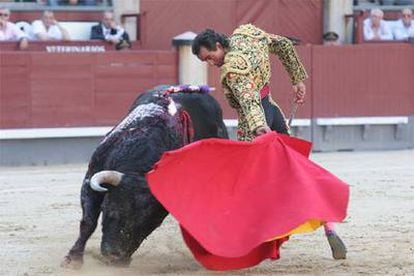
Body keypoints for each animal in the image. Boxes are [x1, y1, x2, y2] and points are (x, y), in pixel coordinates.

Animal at [61, 86, 228, 268]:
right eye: (110, 211)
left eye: (148, 225)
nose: (115, 257)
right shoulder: (91, 177)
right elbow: (88, 222)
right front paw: (73, 259)